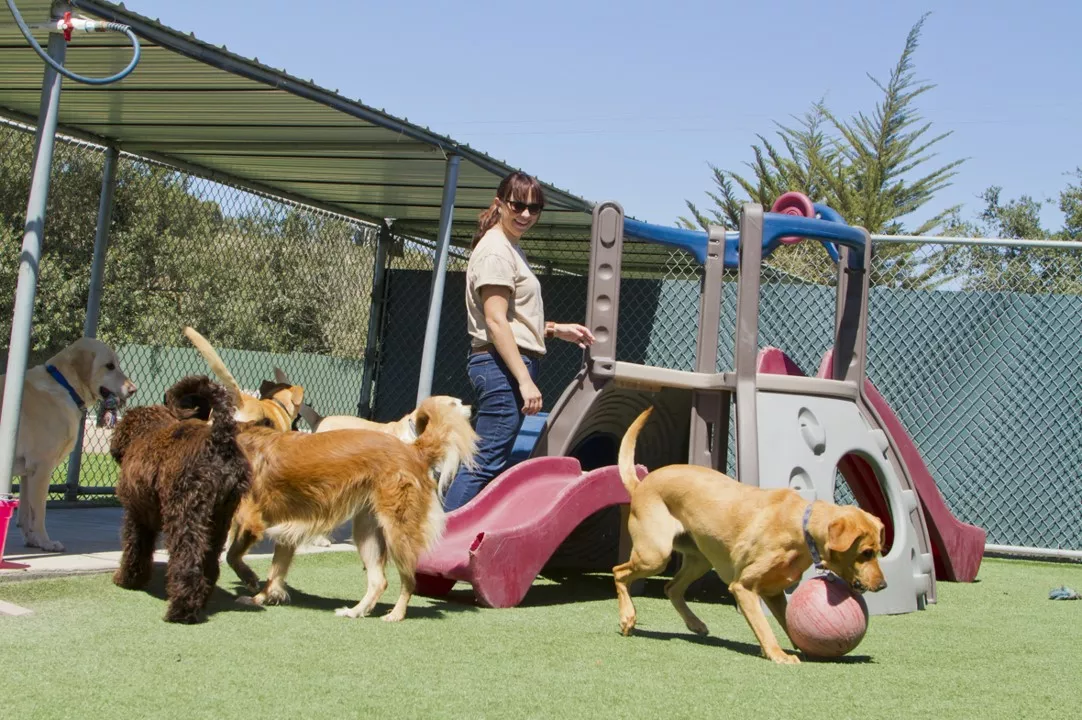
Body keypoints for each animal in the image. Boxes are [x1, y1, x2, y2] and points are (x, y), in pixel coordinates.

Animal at [1, 337, 136, 550]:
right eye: (109, 366)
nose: (133, 389)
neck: (65, 386)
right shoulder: (42, 468)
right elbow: (39, 512)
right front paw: (46, 542)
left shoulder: (27, 472)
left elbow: (25, 513)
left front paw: (32, 540)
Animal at [110, 372, 253, 619]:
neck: (147, 431)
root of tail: (219, 440)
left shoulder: (137, 515)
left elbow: (134, 548)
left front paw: (127, 579)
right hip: (219, 519)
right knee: (209, 560)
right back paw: (201, 599)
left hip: (185, 513)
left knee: (188, 559)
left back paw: (181, 609)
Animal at [226, 394, 476, 619]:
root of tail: (413, 450)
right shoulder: (286, 532)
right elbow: (275, 572)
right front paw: (261, 597)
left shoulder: (252, 520)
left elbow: (232, 555)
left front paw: (250, 580)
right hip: (368, 532)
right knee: (379, 581)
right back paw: (356, 611)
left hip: (397, 532)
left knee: (409, 580)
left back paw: (396, 614)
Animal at [614, 407, 882, 666]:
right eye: (866, 552)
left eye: (878, 552)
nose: (882, 585)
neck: (799, 525)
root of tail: (641, 485)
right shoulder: (744, 587)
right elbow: (764, 627)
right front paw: (778, 654)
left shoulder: (774, 592)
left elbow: (788, 624)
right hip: (655, 555)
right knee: (620, 573)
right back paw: (628, 617)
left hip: (700, 560)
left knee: (671, 587)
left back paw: (695, 623)